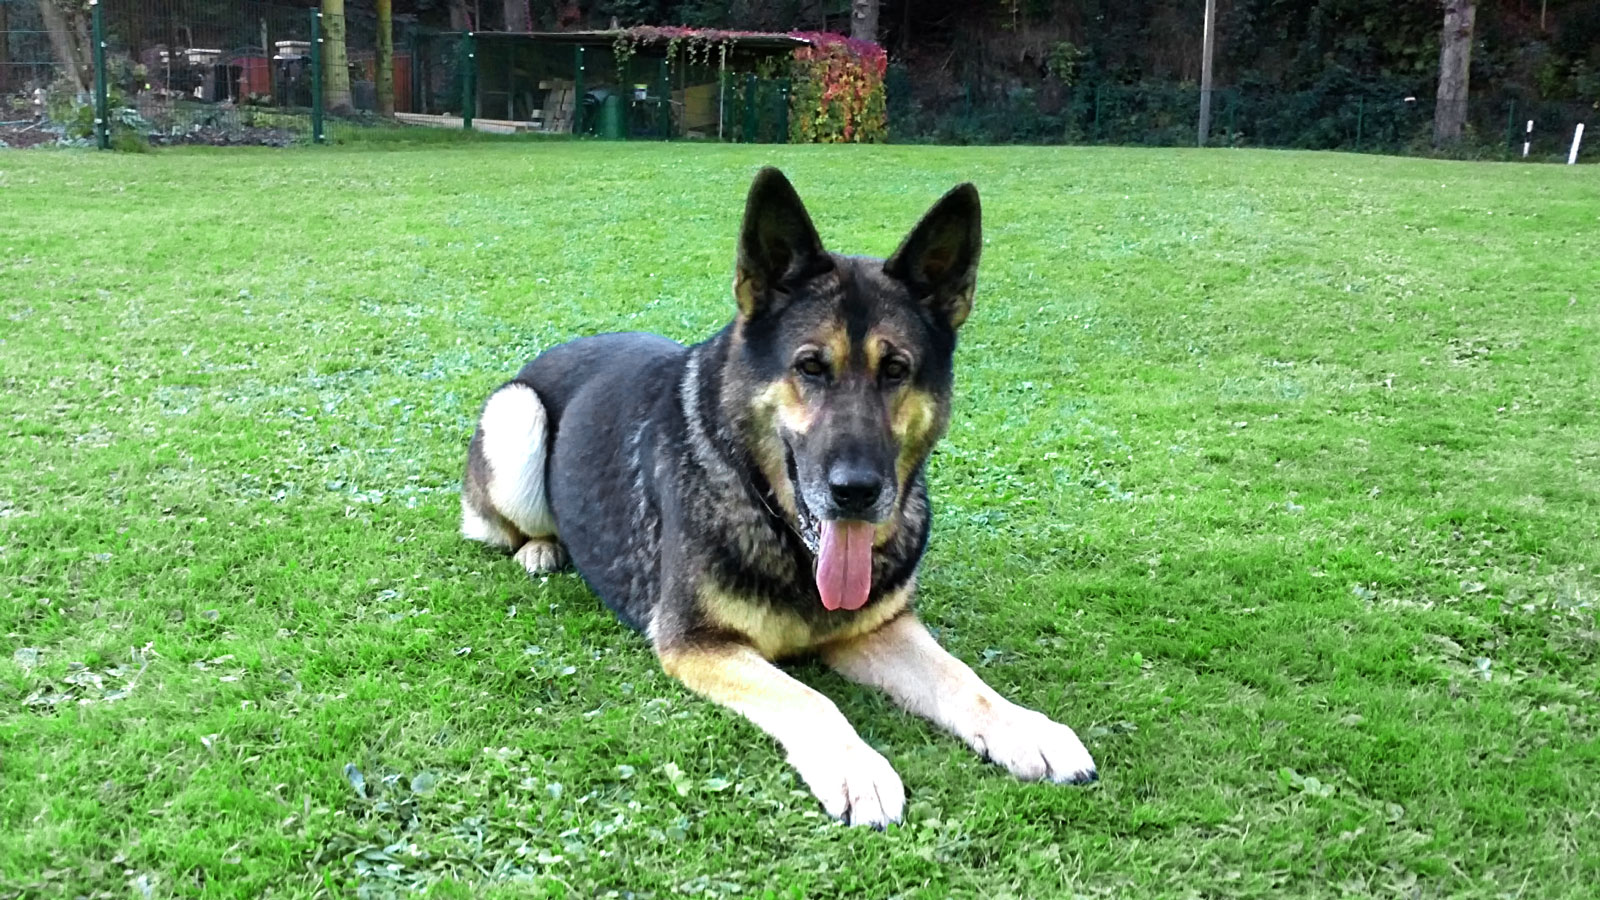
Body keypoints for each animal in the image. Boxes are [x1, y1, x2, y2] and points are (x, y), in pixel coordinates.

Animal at [461, 167, 1096, 827]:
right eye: (810, 367)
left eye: (896, 370)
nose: (856, 493)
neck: (775, 521)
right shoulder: (698, 643)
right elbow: (810, 698)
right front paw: (857, 768)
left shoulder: (877, 629)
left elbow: (961, 677)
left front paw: (1028, 729)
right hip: (517, 416)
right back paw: (539, 548)